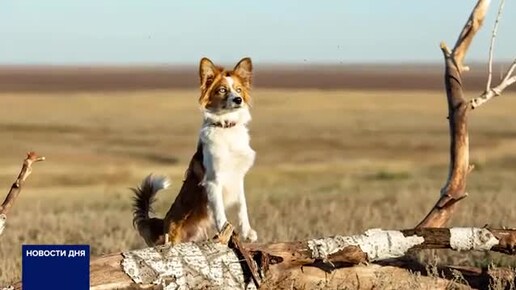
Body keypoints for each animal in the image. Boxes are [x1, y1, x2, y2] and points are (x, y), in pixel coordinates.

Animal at [131, 57, 256, 247]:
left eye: (239, 89)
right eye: (222, 90)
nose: (238, 99)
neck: (226, 128)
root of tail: (162, 223)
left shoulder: (238, 177)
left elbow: (242, 206)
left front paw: (247, 232)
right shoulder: (213, 180)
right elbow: (219, 210)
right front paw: (224, 229)